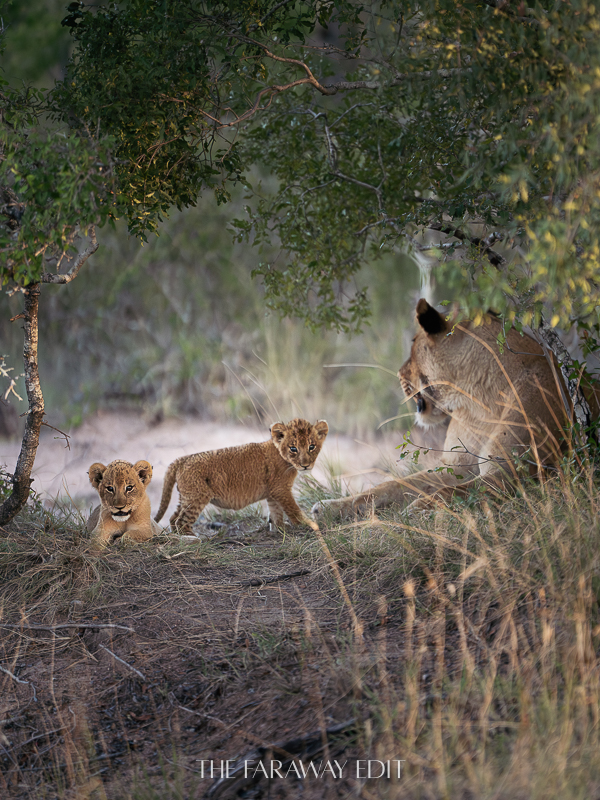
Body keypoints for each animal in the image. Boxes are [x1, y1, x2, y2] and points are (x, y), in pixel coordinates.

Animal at [155, 418, 329, 535]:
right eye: (293, 448)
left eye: (311, 446)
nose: (305, 465)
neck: (285, 459)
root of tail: (182, 459)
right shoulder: (281, 489)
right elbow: (293, 510)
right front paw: (307, 525)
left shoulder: (273, 492)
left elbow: (276, 512)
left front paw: (279, 529)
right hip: (197, 496)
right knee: (182, 521)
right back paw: (192, 538)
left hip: (187, 496)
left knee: (173, 518)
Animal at [313, 299, 593, 519]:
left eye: (414, 342)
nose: (398, 373)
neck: (480, 400)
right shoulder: (455, 467)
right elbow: (391, 486)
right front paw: (328, 508)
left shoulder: (510, 473)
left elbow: (452, 492)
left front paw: (418, 509)